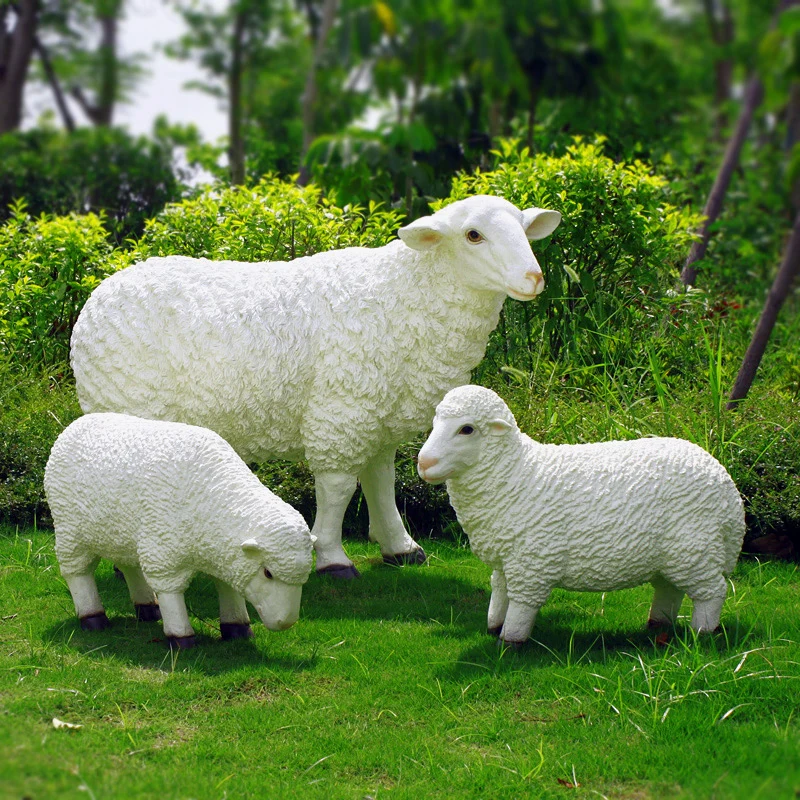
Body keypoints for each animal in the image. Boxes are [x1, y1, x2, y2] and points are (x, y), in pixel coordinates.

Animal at [44, 413, 315, 649]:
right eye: (268, 573)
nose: (285, 622)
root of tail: (74, 425)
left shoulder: (221, 552)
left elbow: (226, 586)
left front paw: (237, 628)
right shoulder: (162, 551)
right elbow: (170, 591)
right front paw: (181, 638)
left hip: (120, 532)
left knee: (129, 565)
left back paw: (148, 608)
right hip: (69, 531)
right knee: (77, 572)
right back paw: (93, 617)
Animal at [70, 194, 561, 580]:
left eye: (523, 230)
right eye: (473, 235)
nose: (534, 278)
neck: (405, 295)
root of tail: (99, 294)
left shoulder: (379, 409)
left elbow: (380, 480)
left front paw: (400, 547)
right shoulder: (342, 408)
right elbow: (338, 487)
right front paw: (331, 556)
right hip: (126, 402)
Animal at [417, 385, 746, 646]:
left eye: (467, 429)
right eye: (435, 423)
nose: (423, 463)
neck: (516, 473)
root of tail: (726, 484)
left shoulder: (532, 562)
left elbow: (521, 604)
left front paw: (510, 641)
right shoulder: (505, 558)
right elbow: (499, 591)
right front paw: (493, 626)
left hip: (696, 548)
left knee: (712, 592)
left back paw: (702, 633)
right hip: (676, 555)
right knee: (670, 589)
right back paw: (657, 626)